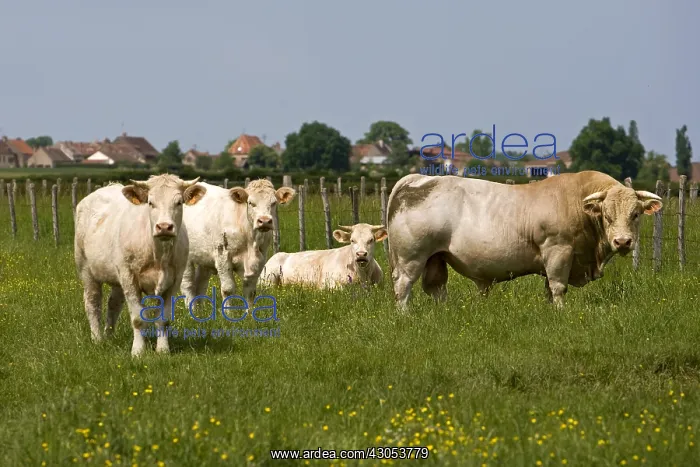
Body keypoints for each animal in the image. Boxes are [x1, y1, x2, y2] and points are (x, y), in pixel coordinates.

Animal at [74, 175, 207, 356]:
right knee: (93, 303)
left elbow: (163, 319)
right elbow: (137, 319)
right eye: (150, 202)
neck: (158, 254)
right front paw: (138, 351)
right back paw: (97, 339)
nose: (164, 227)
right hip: (87, 270)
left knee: (114, 303)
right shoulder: (130, 278)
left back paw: (109, 335)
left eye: (179, 202)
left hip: (118, 276)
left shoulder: (174, 281)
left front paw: (163, 350)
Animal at [181, 179, 296, 308]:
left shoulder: (260, 259)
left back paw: (199, 311)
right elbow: (228, 289)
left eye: (273, 203)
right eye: (250, 203)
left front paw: (249, 313)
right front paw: (228, 312)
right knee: (188, 285)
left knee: (200, 284)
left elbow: (250, 291)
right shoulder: (222, 257)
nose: (265, 221)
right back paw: (191, 309)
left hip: (204, 259)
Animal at [258, 223, 387, 289]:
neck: (362, 275)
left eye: (371, 240)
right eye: (352, 240)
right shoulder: (328, 284)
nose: (361, 254)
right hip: (268, 279)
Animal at [386, 171, 663, 310]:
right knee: (403, 286)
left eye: (636, 214)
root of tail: (418, 178)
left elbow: (549, 289)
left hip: (436, 258)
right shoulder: (557, 251)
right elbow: (558, 287)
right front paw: (561, 313)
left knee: (435, 287)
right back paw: (405, 315)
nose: (623, 242)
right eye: (607, 215)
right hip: (411, 257)